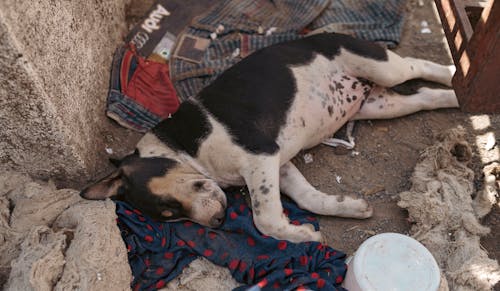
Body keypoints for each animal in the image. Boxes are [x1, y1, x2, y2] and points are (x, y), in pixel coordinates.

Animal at [81, 32, 458, 244]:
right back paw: (455, 97)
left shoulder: (260, 155)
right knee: (425, 97)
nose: (216, 223)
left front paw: (298, 236)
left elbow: (264, 218)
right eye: (171, 216)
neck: (186, 151)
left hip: (381, 66)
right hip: (379, 104)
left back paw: (455, 72)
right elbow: (307, 198)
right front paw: (346, 208)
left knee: (420, 65)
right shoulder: (278, 164)